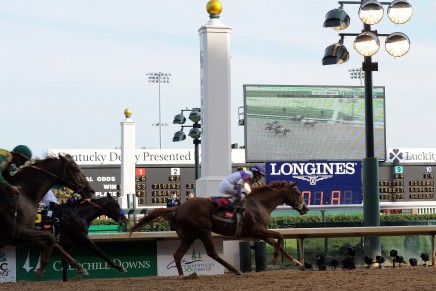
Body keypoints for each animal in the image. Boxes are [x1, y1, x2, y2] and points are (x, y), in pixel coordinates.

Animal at [129, 181, 306, 278]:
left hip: (189, 236)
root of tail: (178, 208)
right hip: (203, 230)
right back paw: (236, 270)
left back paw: (182, 275)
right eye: (298, 192)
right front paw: (275, 259)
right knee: (211, 253)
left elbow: (278, 243)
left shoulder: (260, 231)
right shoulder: (257, 230)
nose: (305, 208)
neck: (259, 204)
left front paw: (298, 263)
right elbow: (280, 236)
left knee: (177, 255)